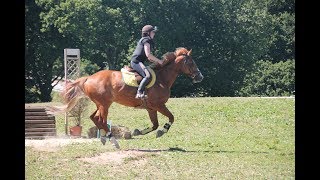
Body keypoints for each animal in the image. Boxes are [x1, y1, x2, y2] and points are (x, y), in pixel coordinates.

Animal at [51, 47, 204, 148]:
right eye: (191, 62)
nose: (200, 77)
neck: (162, 78)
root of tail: (89, 77)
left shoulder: (151, 108)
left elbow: (155, 125)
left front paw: (138, 132)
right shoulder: (159, 105)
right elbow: (171, 118)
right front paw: (162, 131)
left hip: (100, 104)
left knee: (94, 117)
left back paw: (104, 138)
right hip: (105, 104)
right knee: (102, 120)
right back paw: (113, 140)